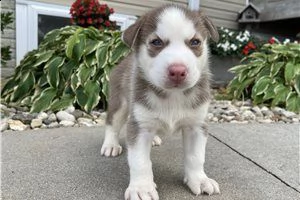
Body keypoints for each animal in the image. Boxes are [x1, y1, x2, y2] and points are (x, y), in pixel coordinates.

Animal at [101, 4, 220, 200]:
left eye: (195, 42)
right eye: (156, 42)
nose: (178, 71)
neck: (173, 96)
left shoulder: (197, 125)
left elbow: (196, 157)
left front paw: (199, 179)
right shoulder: (139, 126)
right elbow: (140, 161)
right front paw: (141, 187)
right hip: (120, 103)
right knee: (112, 123)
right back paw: (110, 144)